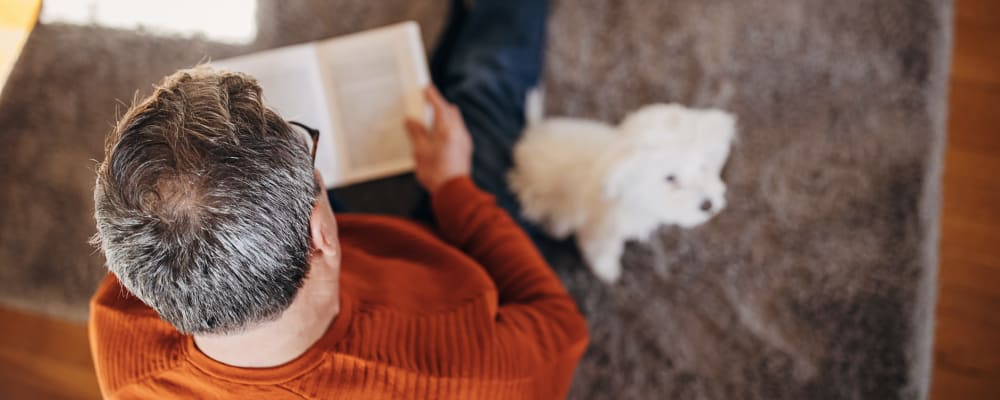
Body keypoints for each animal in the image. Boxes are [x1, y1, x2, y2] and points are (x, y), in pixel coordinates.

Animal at [508, 104, 736, 282]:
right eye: (670, 178)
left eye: (702, 167)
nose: (707, 204)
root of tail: (528, 138)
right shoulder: (600, 231)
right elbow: (602, 252)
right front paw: (607, 271)